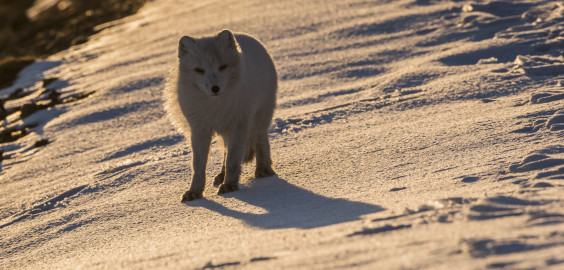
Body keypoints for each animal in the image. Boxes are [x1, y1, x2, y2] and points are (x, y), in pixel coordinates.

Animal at [163, 30, 278, 201]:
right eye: (199, 70)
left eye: (223, 67)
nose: (215, 88)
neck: (215, 106)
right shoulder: (199, 130)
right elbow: (198, 166)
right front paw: (195, 191)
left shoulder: (239, 125)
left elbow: (233, 159)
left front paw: (229, 185)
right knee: (225, 149)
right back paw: (221, 175)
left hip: (260, 117)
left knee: (261, 141)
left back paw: (263, 170)